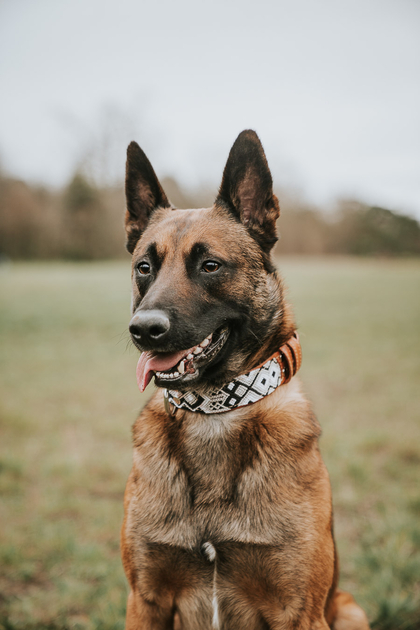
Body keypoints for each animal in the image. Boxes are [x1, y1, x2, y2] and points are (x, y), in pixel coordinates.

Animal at [120, 131, 368, 628]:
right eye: (144, 267)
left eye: (210, 265)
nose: (143, 330)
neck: (214, 412)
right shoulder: (146, 600)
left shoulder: (300, 611)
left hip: (349, 610)